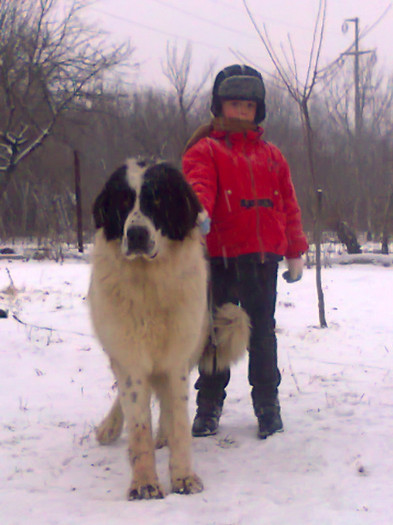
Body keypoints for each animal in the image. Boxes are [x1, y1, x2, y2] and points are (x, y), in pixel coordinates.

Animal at [88, 159, 248, 500]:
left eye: (158, 200)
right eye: (123, 201)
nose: (136, 234)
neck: (149, 282)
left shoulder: (177, 357)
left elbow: (179, 423)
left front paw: (183, 477)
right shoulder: (129, 356)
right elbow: (137, 423)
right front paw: (144, 483)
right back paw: (111, 427)